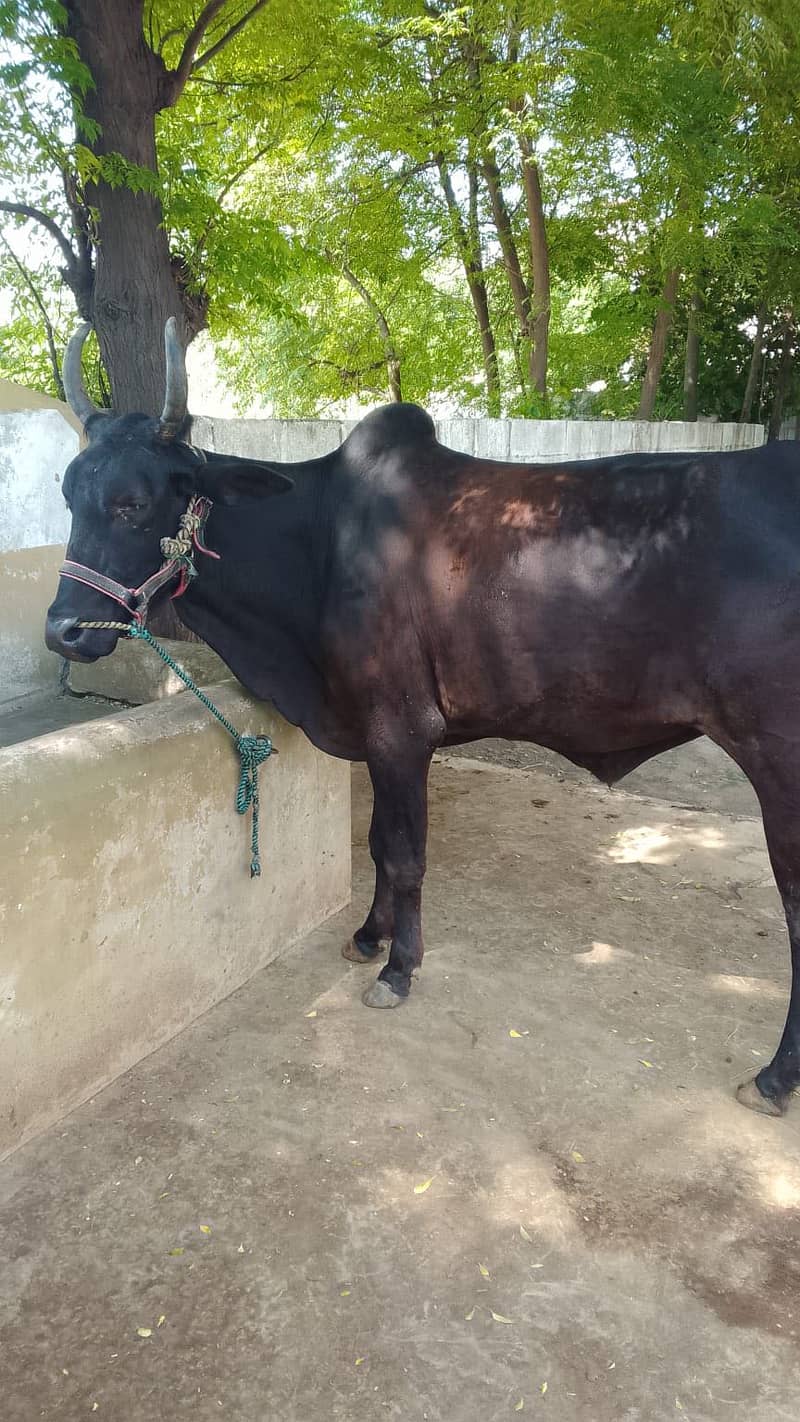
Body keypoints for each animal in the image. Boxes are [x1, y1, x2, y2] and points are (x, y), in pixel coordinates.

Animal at [45, 320, 800, 1118]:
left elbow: (405, 853)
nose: (64, 631)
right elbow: (380, 843)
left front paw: (398, 970)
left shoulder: (401, 729)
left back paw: (774, 1076)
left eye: (133, 502)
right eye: (68, 495)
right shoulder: (379, 737)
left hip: (780, 762)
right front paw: (368, 936)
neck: (316, 545)